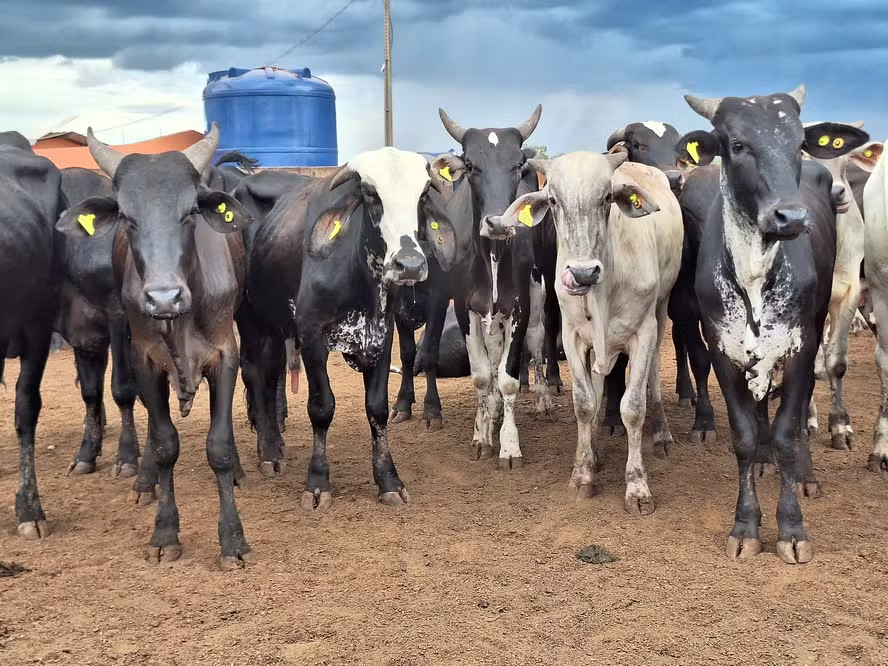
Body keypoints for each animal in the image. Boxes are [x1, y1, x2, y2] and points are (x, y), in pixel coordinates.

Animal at [55, 122, 255, 568]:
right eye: (127, 217)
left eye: (191, 212)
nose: (164, 297)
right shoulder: (143, 357)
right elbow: (165, 443)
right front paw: (165, 532)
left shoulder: (225, 354)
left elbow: (218, 445)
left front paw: (233, 538)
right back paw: (146, 481)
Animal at [236, 147, 458, 508]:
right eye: (369, 193)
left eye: (423, 194)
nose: (409, 264)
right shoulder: (312, 335)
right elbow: (321, 408)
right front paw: (317, 483)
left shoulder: (382, 334)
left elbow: (377, 408)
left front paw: (388, 479)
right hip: (250, 316)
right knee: (255, 372)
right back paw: (268, 452)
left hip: (275, 323)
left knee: (271, 373)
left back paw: (277, 442)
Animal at [486, 152, 680, 512]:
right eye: (552, 200)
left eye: (607, 197)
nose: (582, 273)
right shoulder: (572, 336)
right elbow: (585, 402)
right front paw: (583, 471)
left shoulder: (644, 332)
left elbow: (633, 408)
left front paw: (637, 486)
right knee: (598, 384)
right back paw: (596, 450)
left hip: (662, 309)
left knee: (653, 375)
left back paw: (661, 433)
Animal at [672, 83, 868, 560]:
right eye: (737, 144)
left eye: (797, 143)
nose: (791, 217)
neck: (755, 274)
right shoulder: (723, 350)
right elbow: (744, 434)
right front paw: (746, 525)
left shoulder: (801, 346)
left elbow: (787, 434)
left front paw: (791, 527)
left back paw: (806, 474)